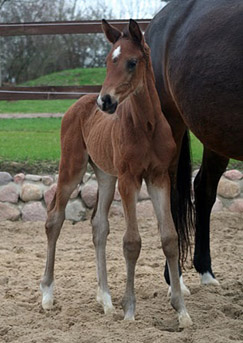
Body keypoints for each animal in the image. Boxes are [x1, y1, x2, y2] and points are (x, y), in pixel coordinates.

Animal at [39, 19, 192, 330]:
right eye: (109, 61)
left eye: (132, 62)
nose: (105, 102)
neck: (147, 125)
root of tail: (77, 104)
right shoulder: (129, 179)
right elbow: (132, 242)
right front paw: (130, 310)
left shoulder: (158, 178)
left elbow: (169, 238)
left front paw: (181, 311)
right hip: (72, 167)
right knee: (54, 218)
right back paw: (47, 295)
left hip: (106, 176)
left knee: (99, 225)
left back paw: (106, 299)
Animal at [145, 0, 242, 288]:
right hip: (172, 127)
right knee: (172, 193)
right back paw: (174, 276)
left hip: (216, 136)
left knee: (203, 190)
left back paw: (205, 270)